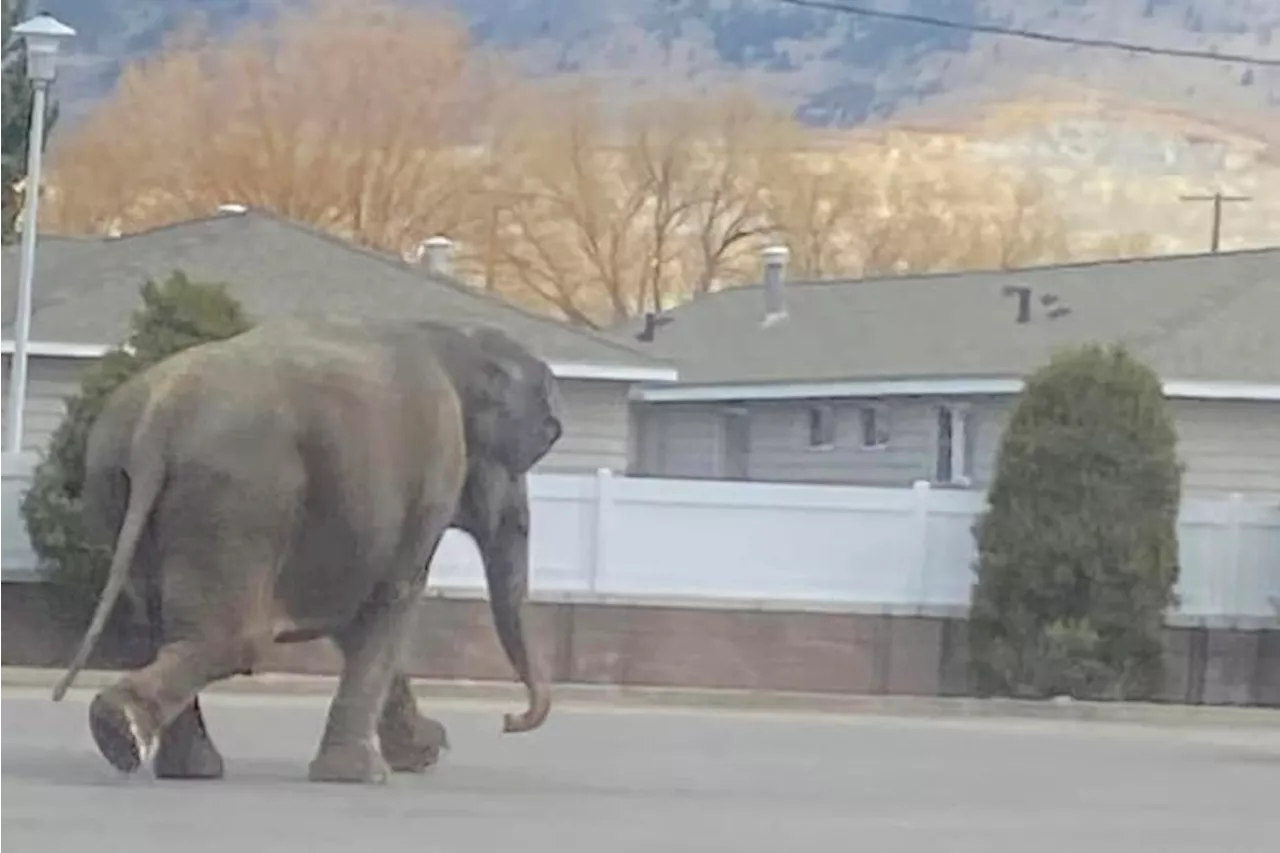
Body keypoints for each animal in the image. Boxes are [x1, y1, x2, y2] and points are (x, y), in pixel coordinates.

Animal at [51, 313, 560, 783]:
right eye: (526, 456)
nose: (509, 720)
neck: (454, 339)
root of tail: (160, 416)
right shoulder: (433, 473)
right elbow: (392, 600)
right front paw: (364, 774)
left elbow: (354, 620)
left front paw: (422, 752)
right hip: (242, 497)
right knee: (231, 639)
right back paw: (122, 731)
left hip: (121, 489)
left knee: (164, 627)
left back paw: (179, 764)